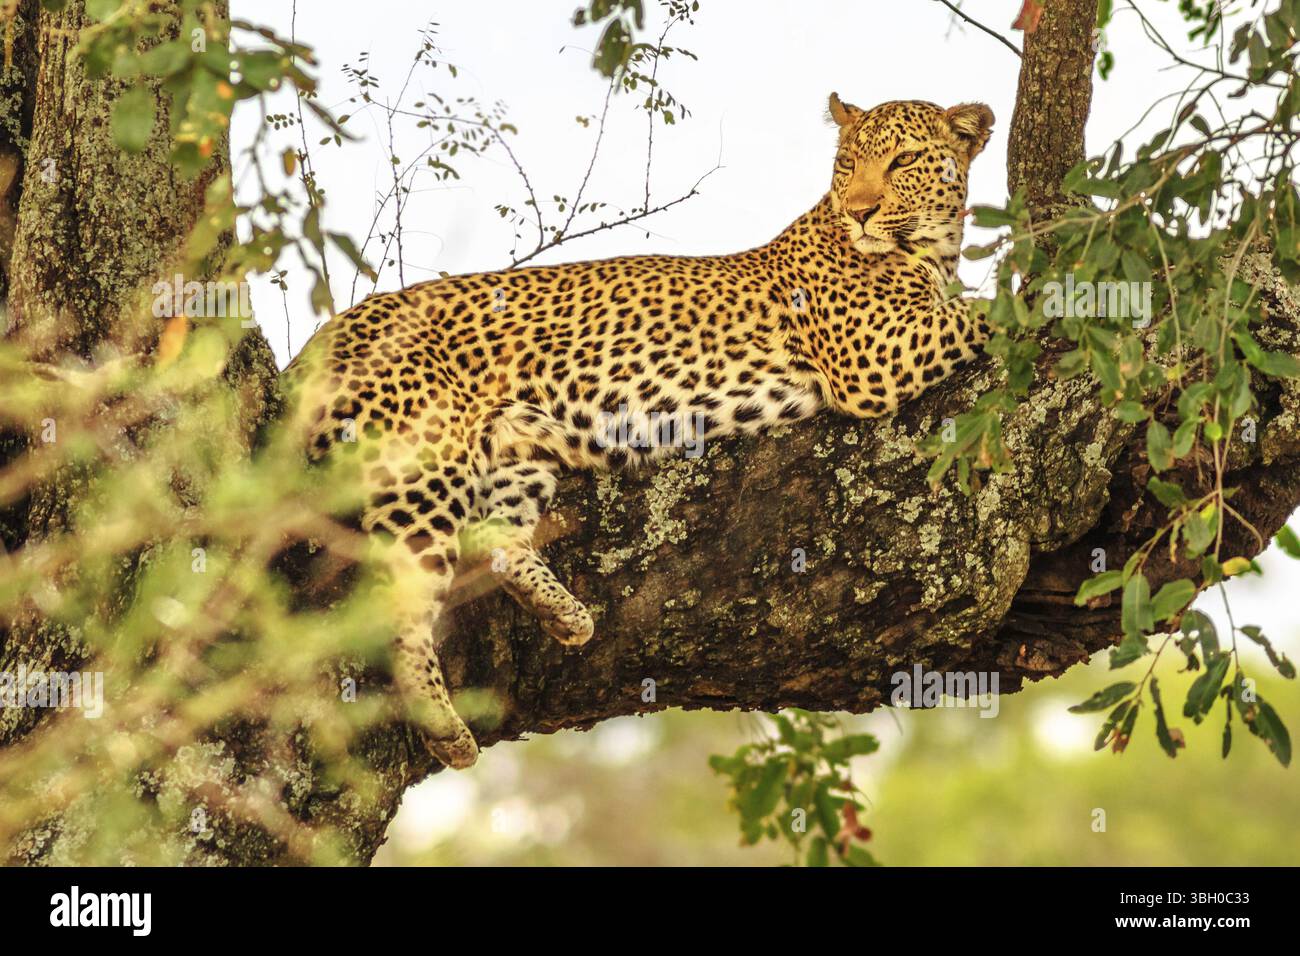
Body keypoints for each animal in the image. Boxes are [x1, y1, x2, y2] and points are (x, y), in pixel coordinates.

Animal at [284, 94, 996, 769]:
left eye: (903, 161)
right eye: (847, 163)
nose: (860, 211)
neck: (933, 251)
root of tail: (325, 336)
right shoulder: (873, 356)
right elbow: (982, 312)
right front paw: (1024, 299)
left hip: (515, 446)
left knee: (495, 537)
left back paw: (566, 615)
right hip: (424, 463)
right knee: (396, 595)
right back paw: (442, 725)